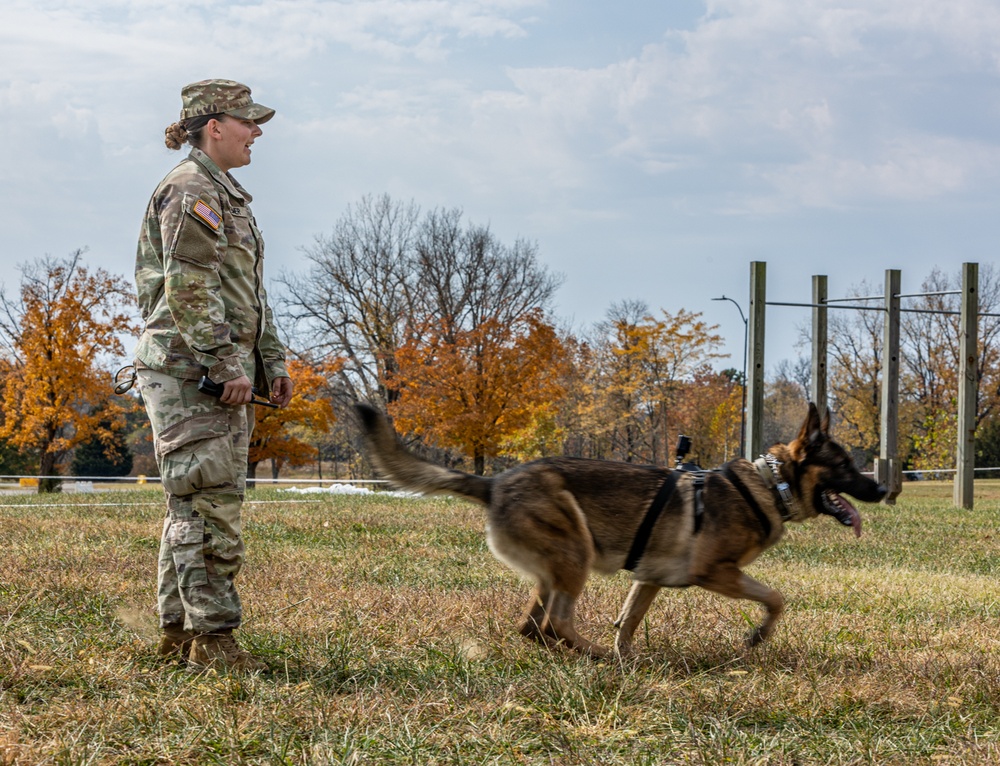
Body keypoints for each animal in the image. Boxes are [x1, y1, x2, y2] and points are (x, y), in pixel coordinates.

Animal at [356, 402, 888, 660]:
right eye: (844, 465)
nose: (882, 488)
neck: (768, 483)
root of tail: (495, 482)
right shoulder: (716, 573)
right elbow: (777, 597)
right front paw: (757, 637)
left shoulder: (648, 579)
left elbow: (628, 622)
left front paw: (627, 653)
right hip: (576, 553)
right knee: (555, 623)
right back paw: (594, 654)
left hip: (555, 568)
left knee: (534, 627)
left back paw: (592, 655)